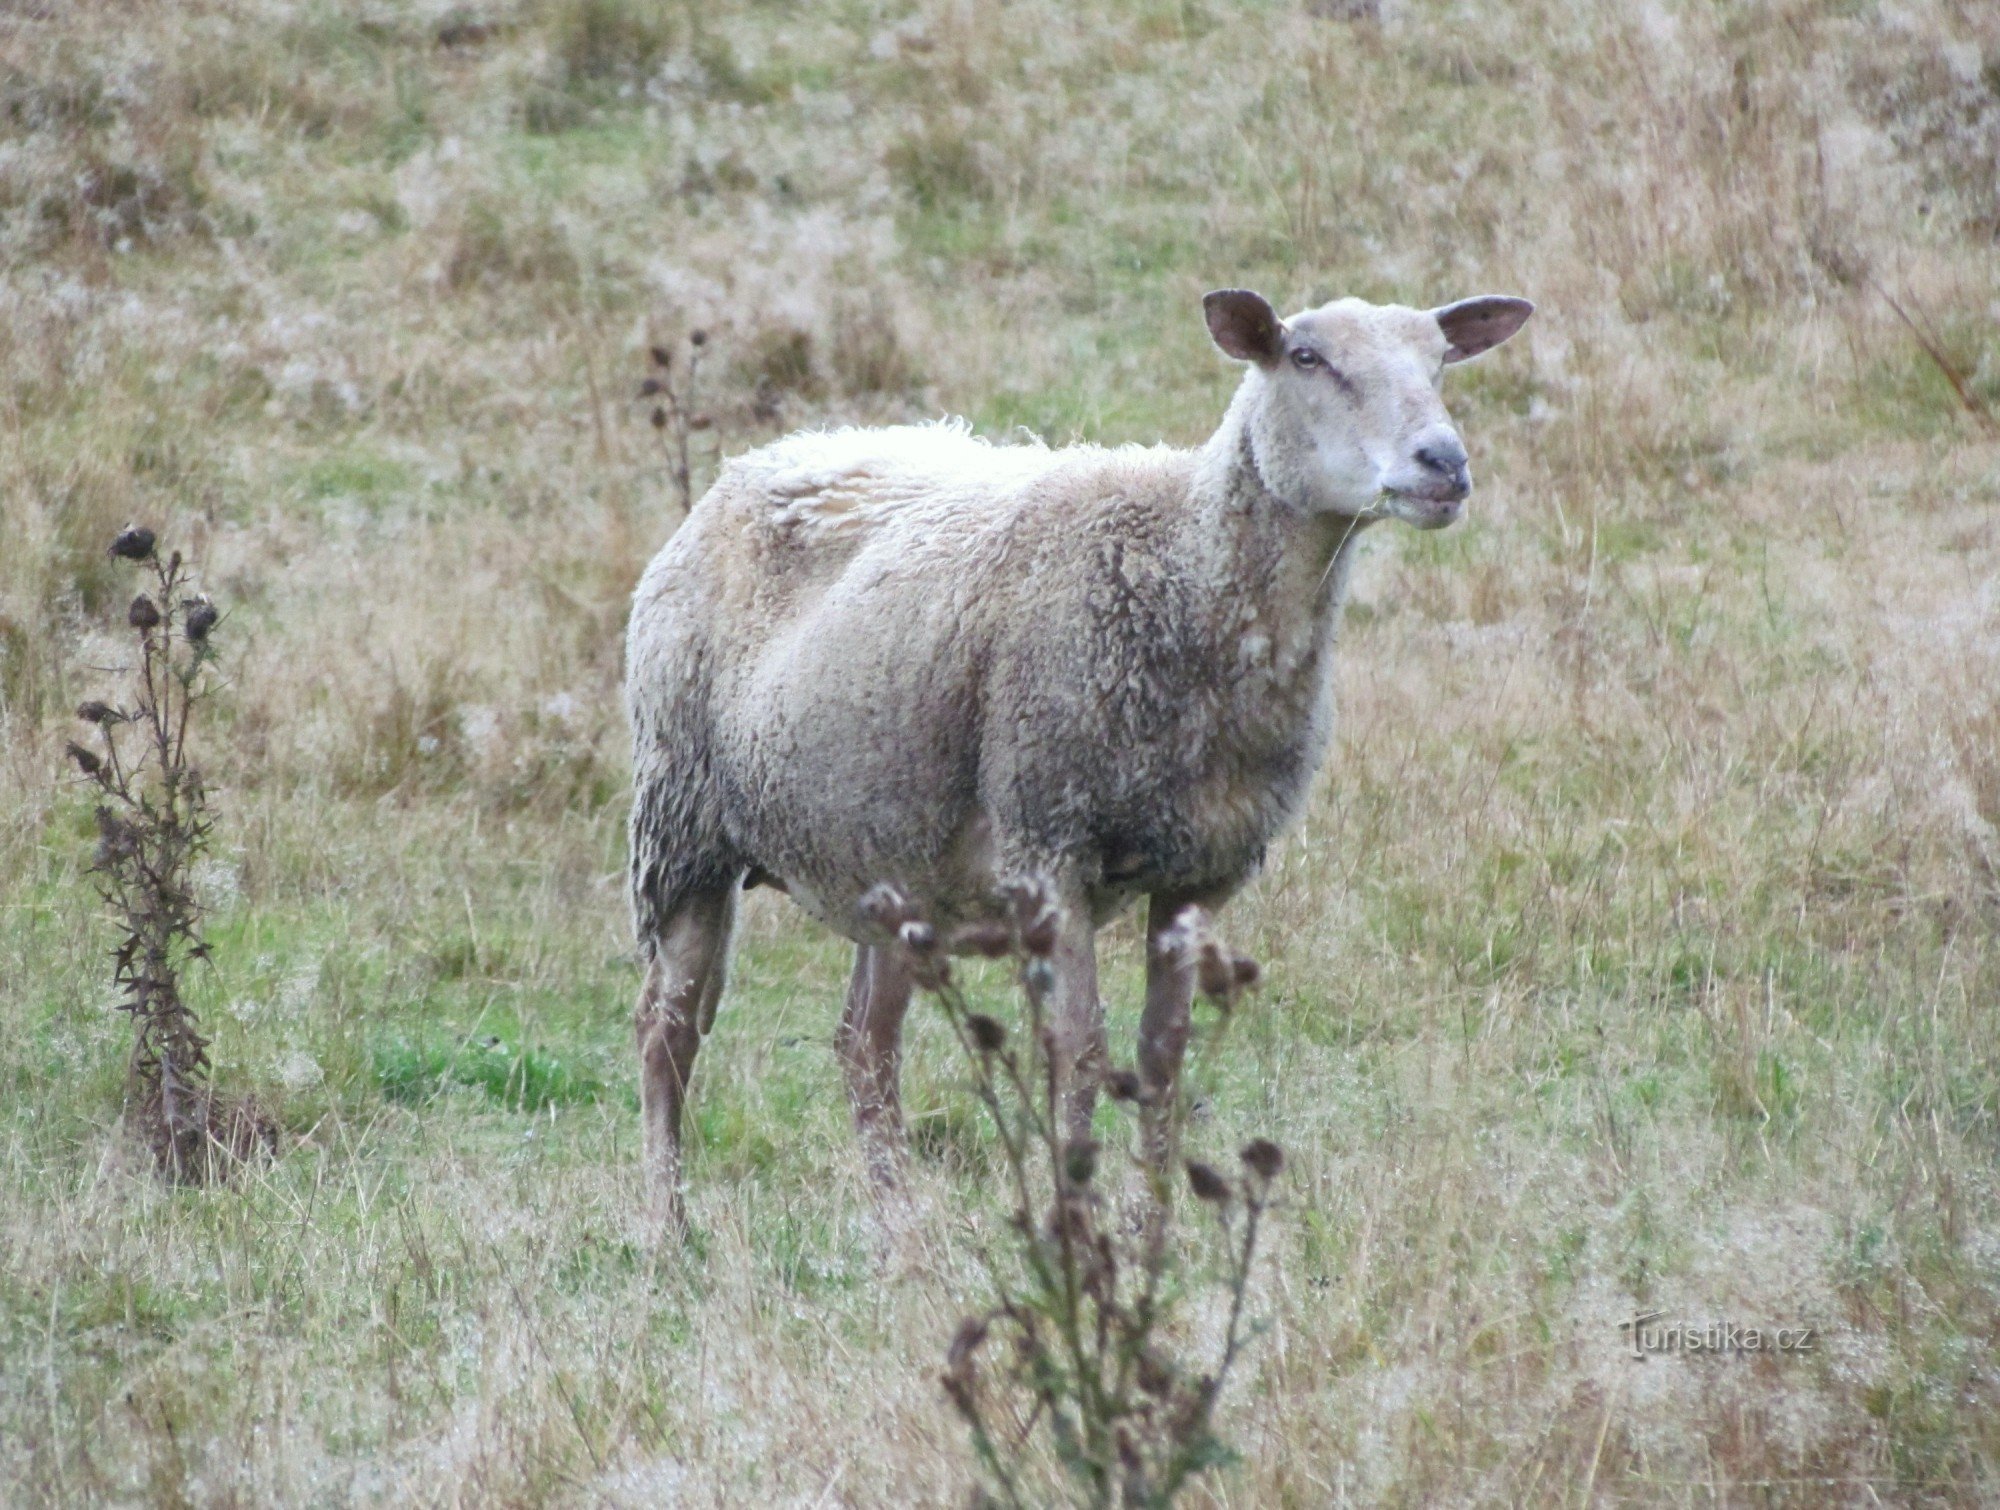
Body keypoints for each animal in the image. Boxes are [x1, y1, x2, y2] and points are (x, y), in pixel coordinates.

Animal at [624, 286, 1528, 1232]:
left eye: (1439, 361)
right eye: (1307, 359)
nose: (1443, 463)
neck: (1186, 570)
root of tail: (756, 462)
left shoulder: (1198, 872)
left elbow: (1163, 1055)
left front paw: (1157, 1226)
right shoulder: (1051, 842)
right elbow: (1081, 1049)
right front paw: (1079, 1219)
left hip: (887, 848)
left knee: (863, 1045)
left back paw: (903, 1228)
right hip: (681, 822)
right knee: (666, 1031)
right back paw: (668, 1225)